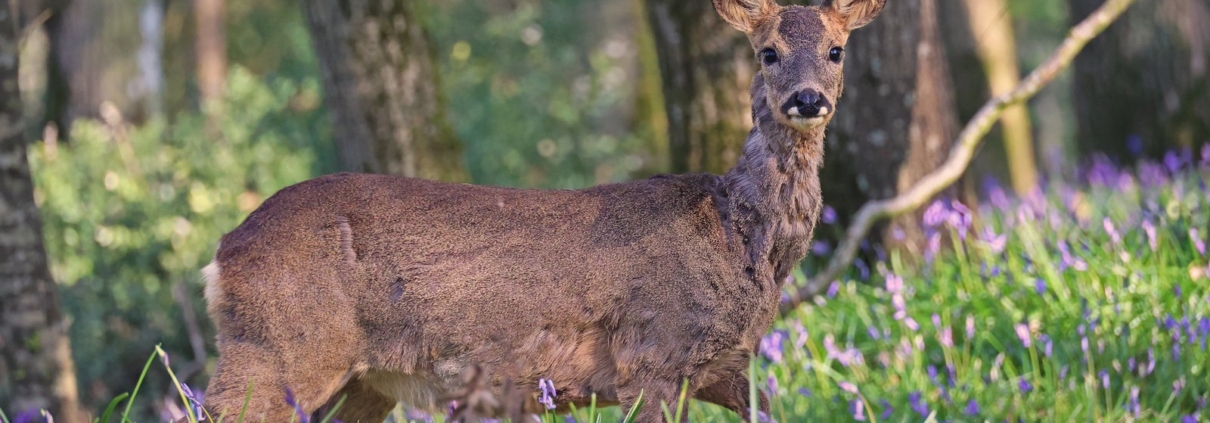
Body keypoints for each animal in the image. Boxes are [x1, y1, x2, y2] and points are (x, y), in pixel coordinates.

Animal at [197, 0, 884, 421]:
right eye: (768, 51)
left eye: (836, 49)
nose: (807, 100)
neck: (738, 238)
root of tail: (223, 252)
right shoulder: (653, 356)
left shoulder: (730, 369)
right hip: (280, 348)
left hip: (362, 380)